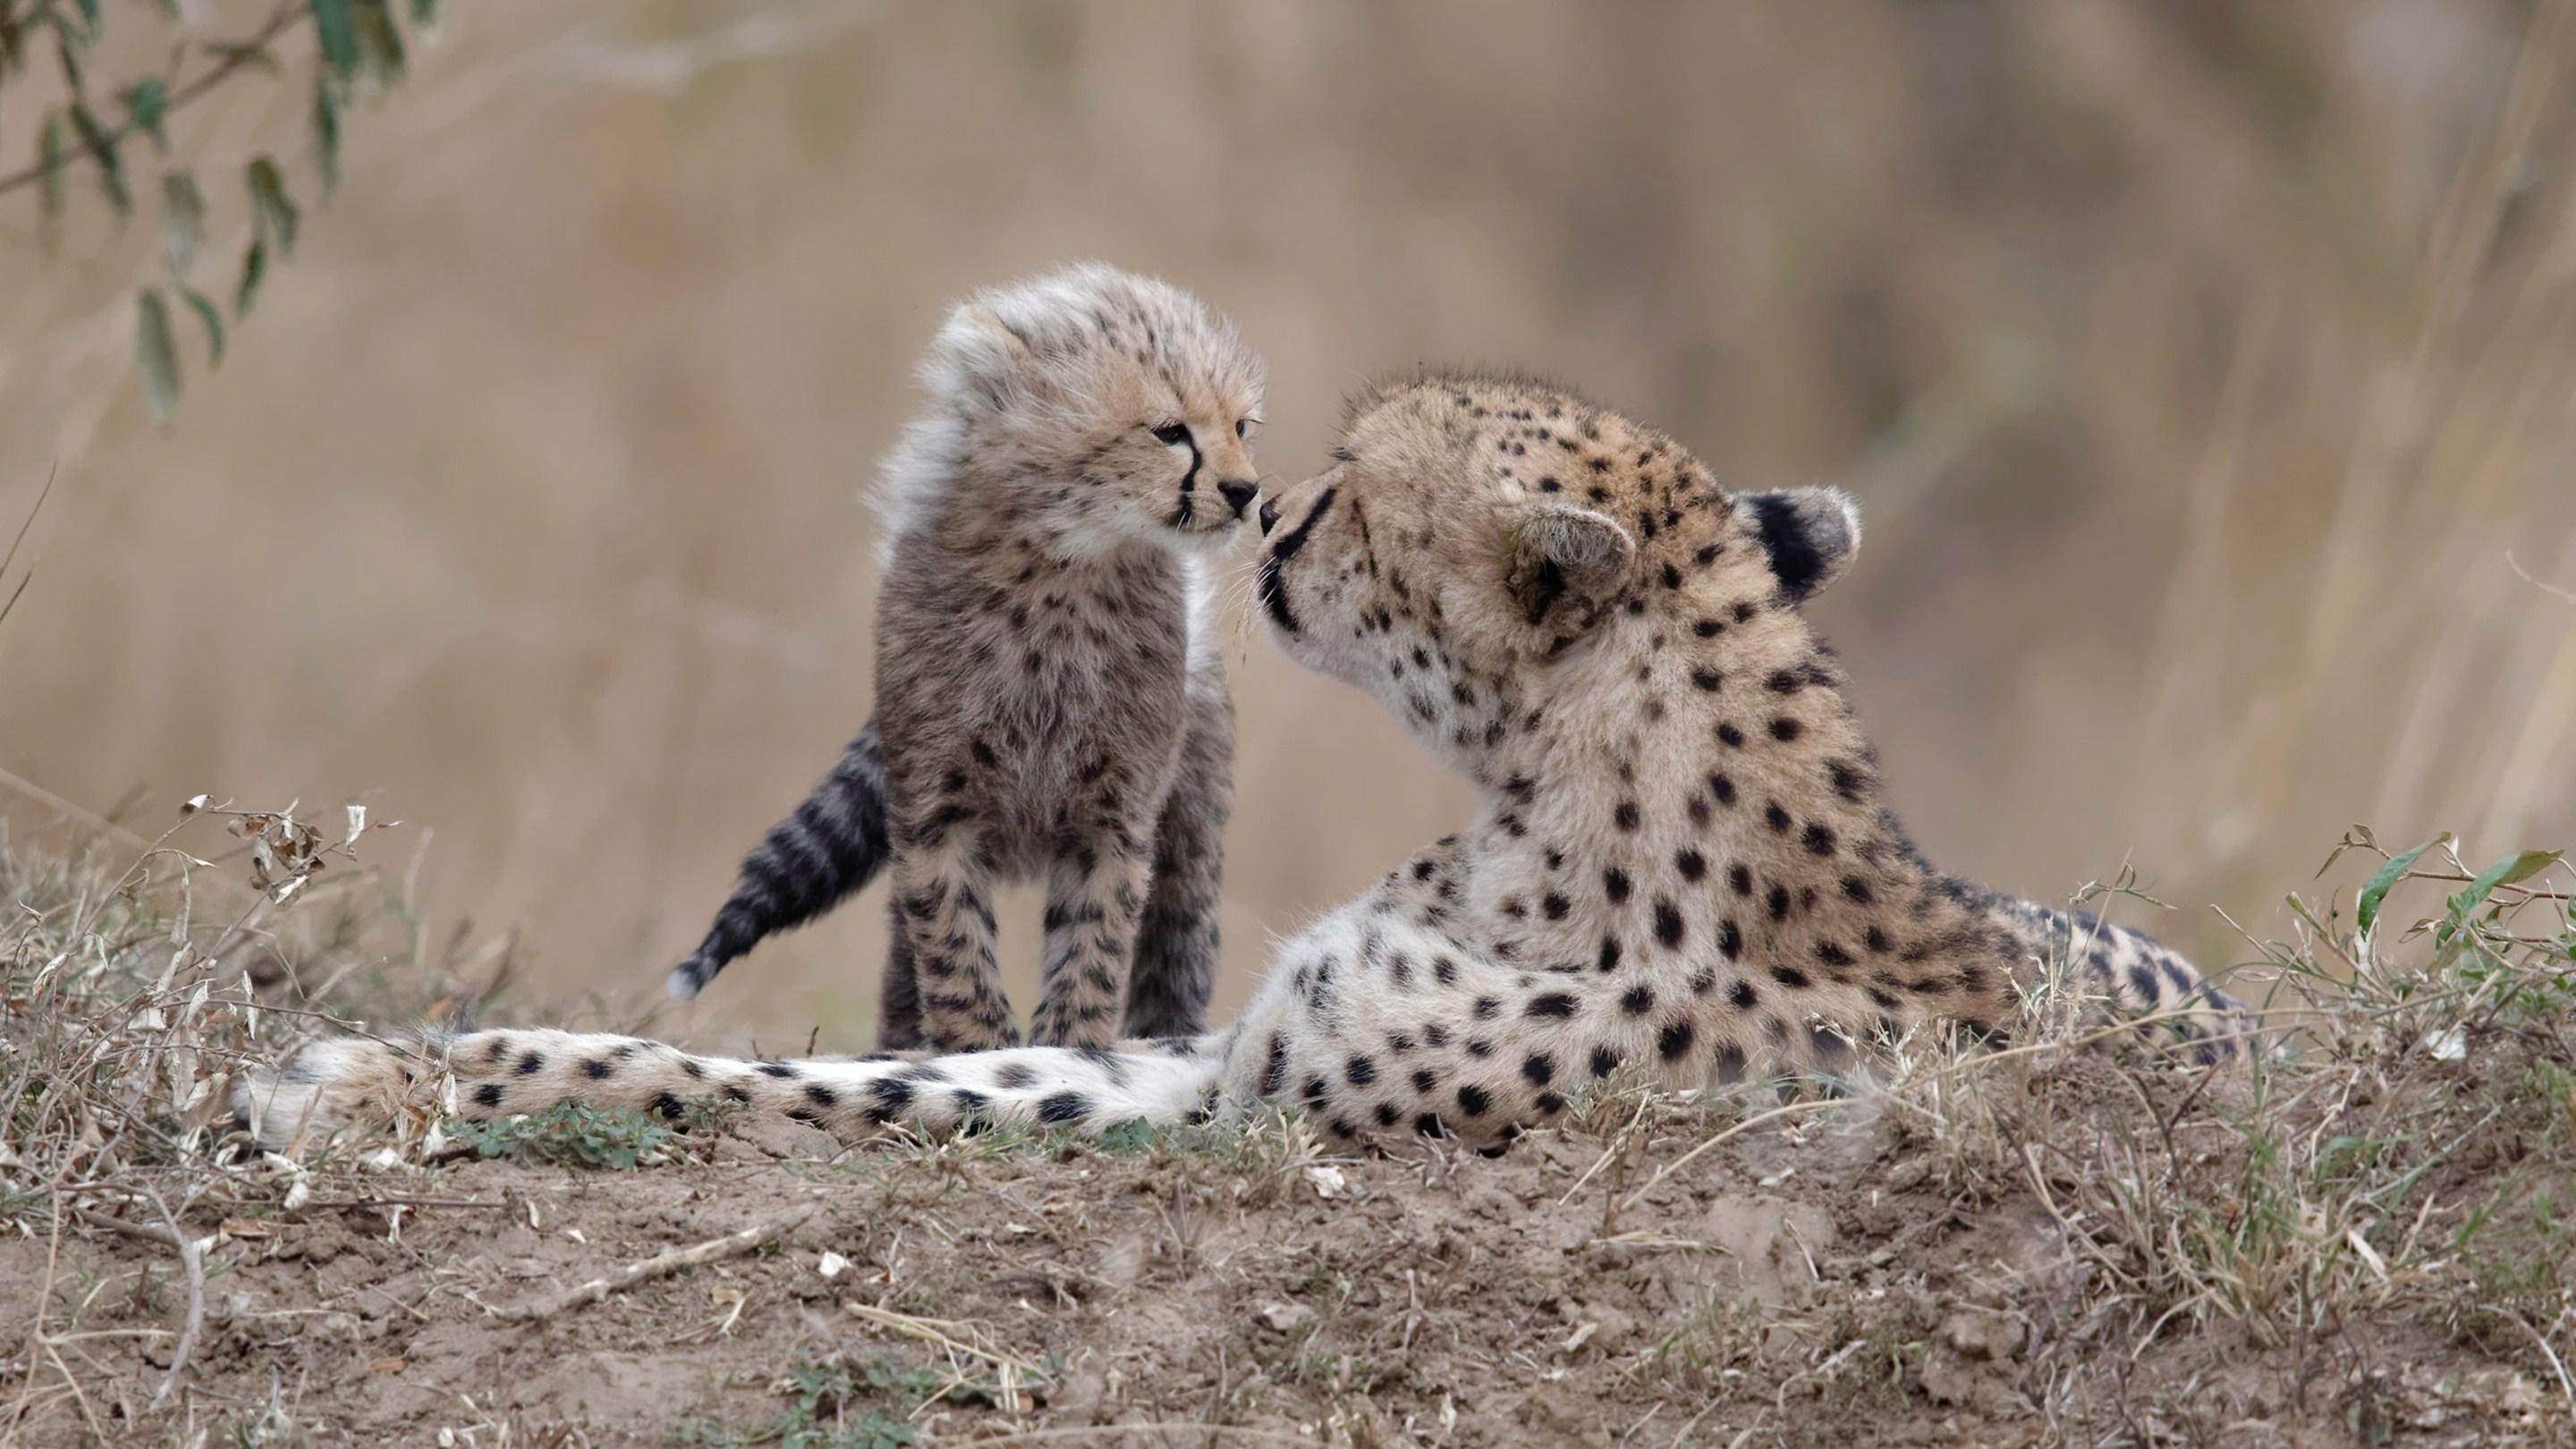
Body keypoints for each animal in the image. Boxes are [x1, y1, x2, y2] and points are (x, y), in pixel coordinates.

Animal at [246, 366, 2256, 1144]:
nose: (1273, 511)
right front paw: (397, 1059)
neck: (1548, 806)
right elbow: (906, 1071)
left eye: (1358, 488)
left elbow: (854, 1099)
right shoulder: (1230, 1050)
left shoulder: (1265, 1097)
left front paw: (380, 1082)